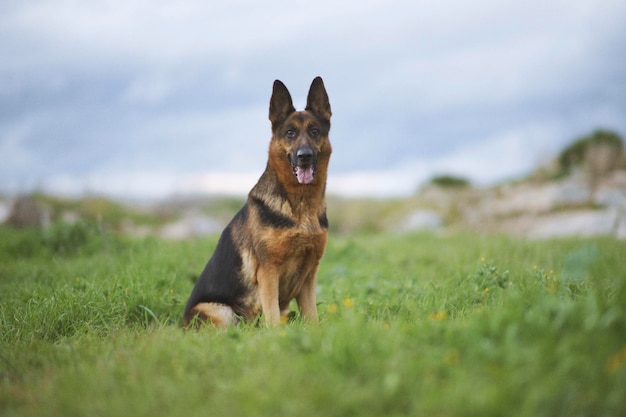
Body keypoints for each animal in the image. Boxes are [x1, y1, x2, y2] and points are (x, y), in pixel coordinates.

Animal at [182, 76, 332, 326]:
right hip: (223, 311)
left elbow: (312, 318)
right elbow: (272, 319)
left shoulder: (309, 276)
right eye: (290, 132)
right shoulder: (269, 273)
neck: (300, 208)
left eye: (314, 131)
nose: (304, 156)